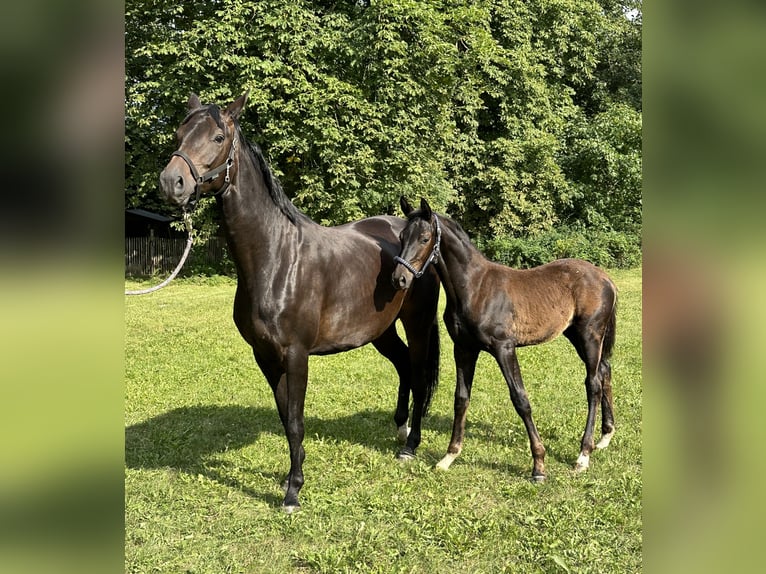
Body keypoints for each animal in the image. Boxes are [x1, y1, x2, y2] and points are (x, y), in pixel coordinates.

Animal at [158, 94, 438, 512]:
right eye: (179, 133)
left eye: (218, 137)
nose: (171, 182)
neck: (277, 257)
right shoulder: (265, 355)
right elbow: (284, 416)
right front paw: (294, 473)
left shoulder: (296, 354)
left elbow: (295, 419)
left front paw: (293, 491)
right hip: (380, 331)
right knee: (404, 365)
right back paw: (400, 427)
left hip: (417, 323)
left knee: (419, 374)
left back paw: (410, 444)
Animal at [396, 198, 616, 482]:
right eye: (401, 237)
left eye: (424, 238)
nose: (399, 278)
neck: (474, 288)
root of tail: (605, 278)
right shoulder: (464, 349)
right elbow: (461, 398)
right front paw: (449, 456)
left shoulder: (504, 348)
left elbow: (520, 400)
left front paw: (539, 466)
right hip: (577, 336)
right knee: (604, 371)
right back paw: (605, 437)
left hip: (590, 335)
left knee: (593, 384)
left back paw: (583, 455)